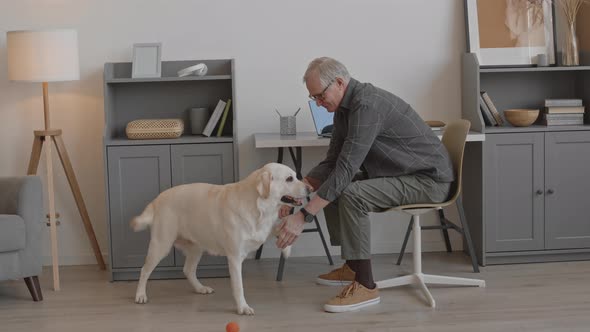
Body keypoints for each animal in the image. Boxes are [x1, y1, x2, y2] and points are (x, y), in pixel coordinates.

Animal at [131, 163, 308, 314]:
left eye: (295, 176)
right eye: (289, 178)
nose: (310, 188)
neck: (258, 206)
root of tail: (157, 199)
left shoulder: (262, 230)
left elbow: (280, 227)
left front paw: (286, 247)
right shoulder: (235, 257)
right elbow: (238, 286)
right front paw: (243, 307)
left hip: (196, 247)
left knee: (188, 270)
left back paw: (200, 288)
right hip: (161, 245)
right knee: (144, 270)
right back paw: (140, 295)